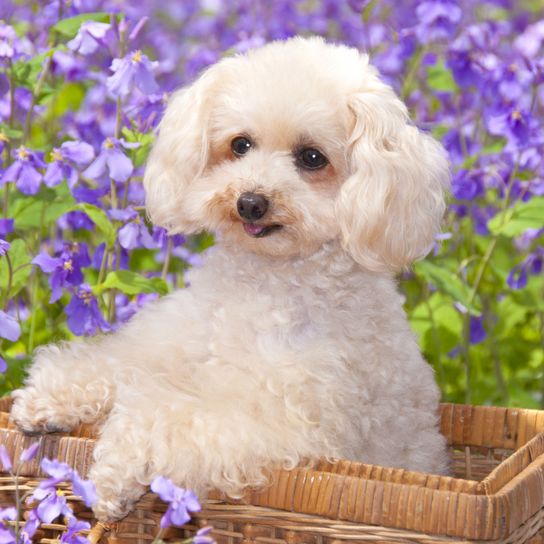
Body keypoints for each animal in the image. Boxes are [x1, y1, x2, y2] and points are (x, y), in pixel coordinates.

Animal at [10, 36, 450, 520]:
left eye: (312, 157)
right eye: (241, 144)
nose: (251, 202)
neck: (267, 284)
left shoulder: (282, 422)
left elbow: (165, 419)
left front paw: (113, 473)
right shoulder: (171, 351)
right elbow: (114, 363)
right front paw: (45, 399)